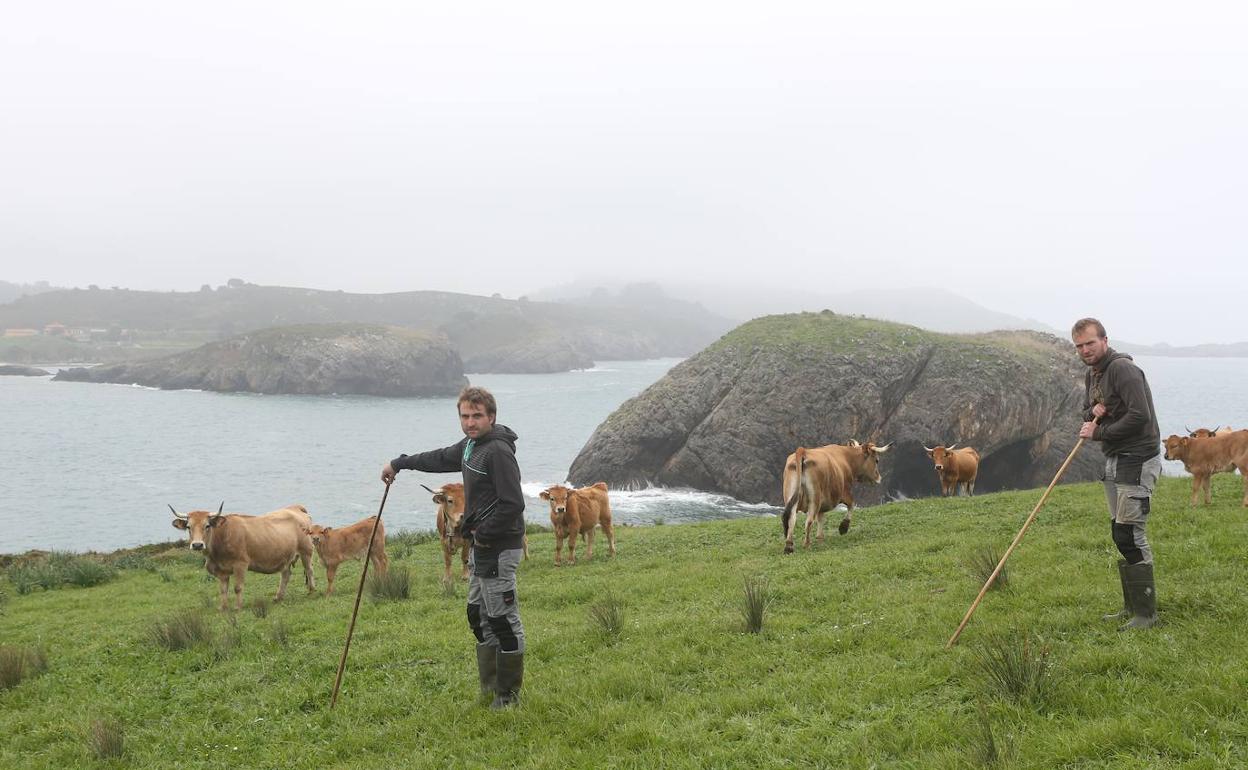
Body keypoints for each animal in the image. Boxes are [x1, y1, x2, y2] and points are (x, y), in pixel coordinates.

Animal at [168, 501, 316, 609]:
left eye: (207, 525)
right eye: (188, 527)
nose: (197, 545)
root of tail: (295, 508)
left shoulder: (240, 564)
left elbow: (237, 588)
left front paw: (238, 607)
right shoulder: (220, 571)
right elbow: (223, 590)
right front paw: (223, 608)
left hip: (306, 550)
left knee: (309, 570)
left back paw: (311, 591)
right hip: (285, 556)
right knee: (285, 575)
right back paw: (278, 597)